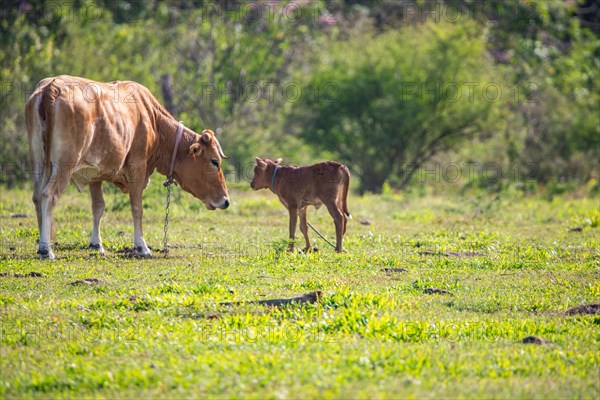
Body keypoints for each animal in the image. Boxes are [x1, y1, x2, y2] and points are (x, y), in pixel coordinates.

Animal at [25, 75, 230, 260]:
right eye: (214, 161)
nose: (226, 201)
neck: (152, 119)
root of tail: (52, 87)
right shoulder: (137, 168)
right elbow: (137, 208)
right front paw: (142, 246)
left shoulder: (95, 173)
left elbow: (98, 207)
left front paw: (96, 245)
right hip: (64, 166)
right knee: (48, 195)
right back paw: (46, 249)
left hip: (38, 163)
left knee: (37, 197)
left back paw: (44, 243)